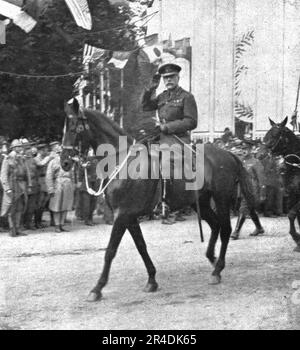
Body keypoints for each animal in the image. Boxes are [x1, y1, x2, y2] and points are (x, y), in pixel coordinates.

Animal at [61, 98, 258, 300]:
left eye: (75, 127)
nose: (64, 162)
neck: (123, 162)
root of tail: (228, 154)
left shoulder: (122, 215)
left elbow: (110, 251)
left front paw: (97, 288)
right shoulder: (129, 217)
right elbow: (141, 246)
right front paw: (152, 280)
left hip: (221, 199)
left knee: (225, 229)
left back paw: (217, 270)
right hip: (200, 203)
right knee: (216, 225)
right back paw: (213, 258)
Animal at [264, 117, 300, 252]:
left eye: (276, 134)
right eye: (267, 133)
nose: (260, 154)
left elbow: (292, 214)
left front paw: (296, 237)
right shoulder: (292, 195)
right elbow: (294, 216)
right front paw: (298, 241)